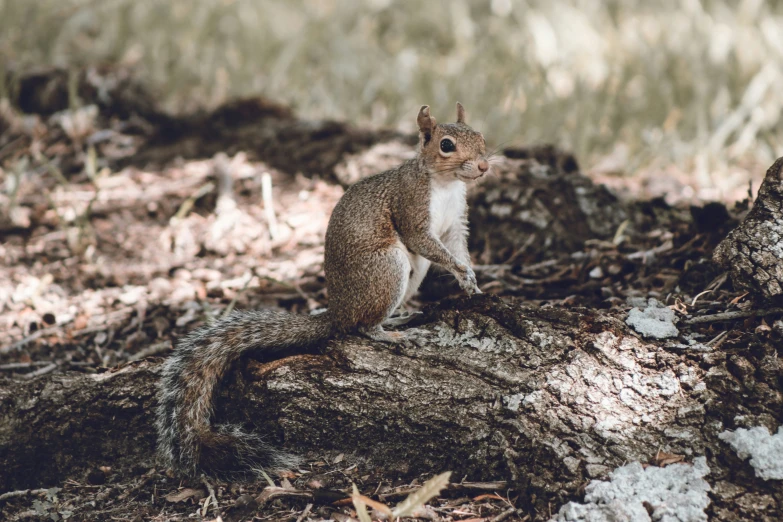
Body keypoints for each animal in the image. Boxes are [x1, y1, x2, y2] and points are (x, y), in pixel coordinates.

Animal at [156, 101, 494, 476]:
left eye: (481, 136)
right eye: (446, 145)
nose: (483, 165)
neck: (446, 185)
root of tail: (337, 312)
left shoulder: (455, 223)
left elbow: (458, 247)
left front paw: (472, 281)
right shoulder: (411, 208)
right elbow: (427, 242)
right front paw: (461, 272)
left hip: (411, 274)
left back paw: (399, 319)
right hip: (388, 267)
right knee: (362, 327)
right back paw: (389, 334)